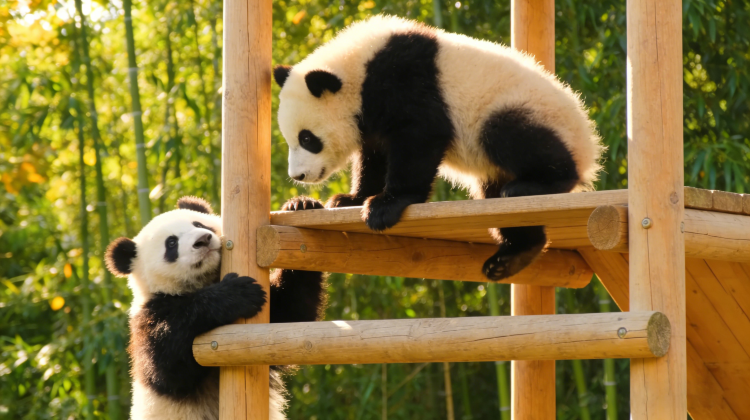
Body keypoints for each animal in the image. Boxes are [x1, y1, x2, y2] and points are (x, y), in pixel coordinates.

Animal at [105, 196, 327, 420]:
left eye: (198, 224)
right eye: (171, 243)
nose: (203, 239)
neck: (199, 283)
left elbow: (291, 311)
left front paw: (302, 205)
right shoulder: (148, 316)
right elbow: (168, 366)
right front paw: (237, 293)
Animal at [273, 15, 603, 281]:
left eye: (307, 139)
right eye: (291, 139)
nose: (299, 176)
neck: (359, 69)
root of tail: (588, 145)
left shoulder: (407, 81)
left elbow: (420, 138)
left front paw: (384, 206)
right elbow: (374, 157)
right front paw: (350, 199)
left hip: (524, 111)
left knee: (509, 135)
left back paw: (535, 186)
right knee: (501, 201)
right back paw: (513, 255)